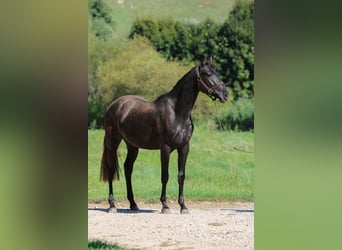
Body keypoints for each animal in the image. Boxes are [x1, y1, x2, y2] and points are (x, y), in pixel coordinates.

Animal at [99, 57, 227, 214]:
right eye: (207, 73)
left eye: (217, 72)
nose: (225, 95)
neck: (177, 112)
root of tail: (113, 105)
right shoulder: (165, 148)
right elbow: (165, 176)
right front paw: (165, 205)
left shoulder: (184, 147)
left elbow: (181, 175)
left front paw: (183, 206)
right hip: (113, 142)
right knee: (111, 169)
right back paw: (112, 205)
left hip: (133, 146)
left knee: (128, 168)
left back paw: (133, 204)